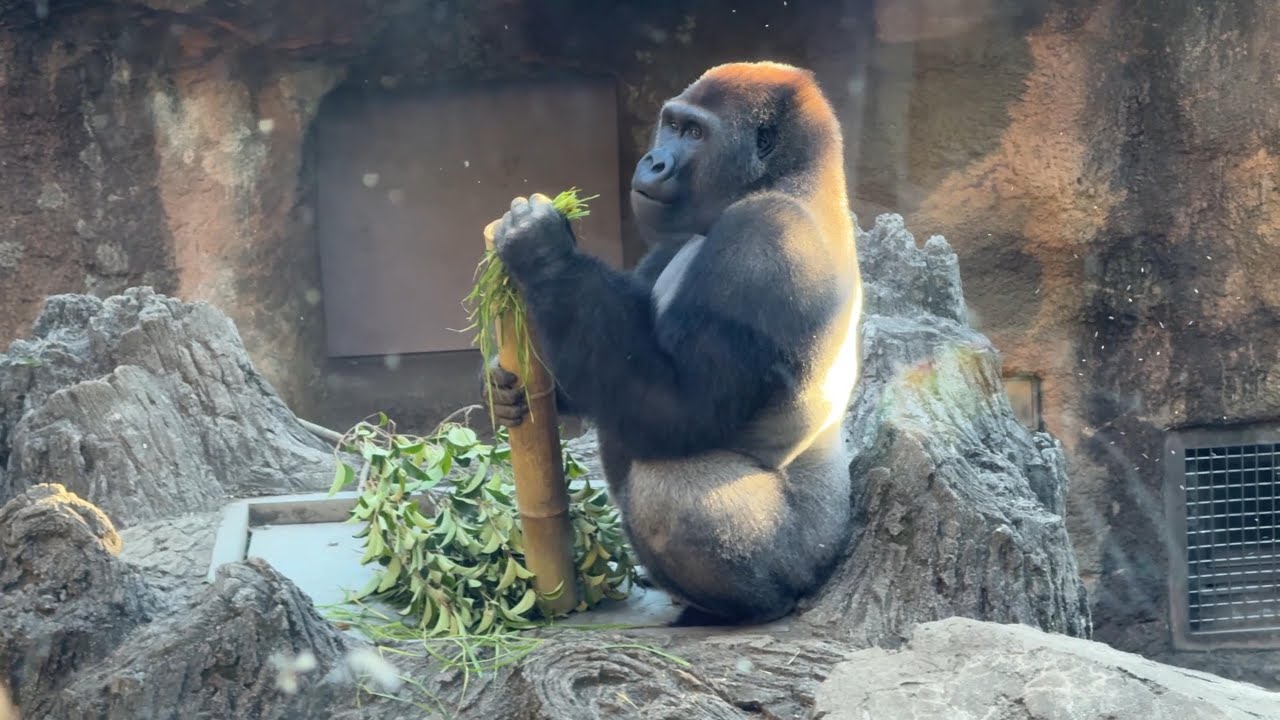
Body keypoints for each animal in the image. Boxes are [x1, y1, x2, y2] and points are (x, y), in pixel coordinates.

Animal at [481, 61, 863, 626]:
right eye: (673, 125)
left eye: (696, 134)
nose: (654, 161)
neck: (796, 180)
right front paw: (503, 386)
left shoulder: (764, 244)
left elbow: (677, 408)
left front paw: (543, 253)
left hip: (805, 557)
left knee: (672, 487)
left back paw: (741, 608)